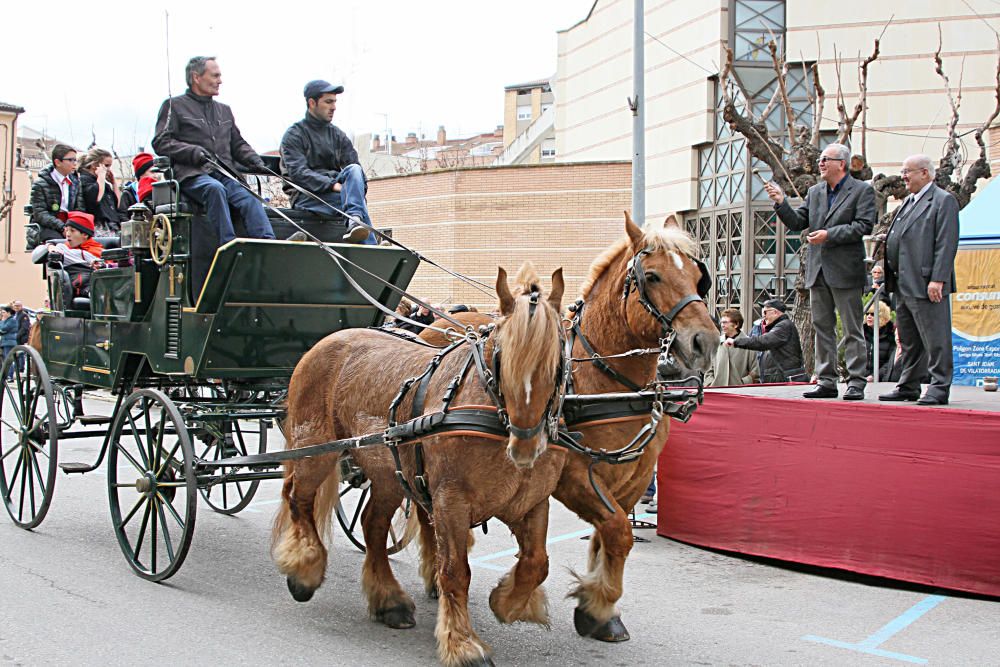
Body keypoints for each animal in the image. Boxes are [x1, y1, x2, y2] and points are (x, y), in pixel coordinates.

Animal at [274, 264, 568, 664]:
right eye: (502, 358)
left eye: (557, 361)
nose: (526, 446)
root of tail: (327, 341)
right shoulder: (450, 501)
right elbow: (455, 572)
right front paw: (462, 642)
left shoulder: (533, 501)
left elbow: (537, 562)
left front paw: (507, 602)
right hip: (314, 450)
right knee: (298, 499)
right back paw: (305, 569)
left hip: (388, 473)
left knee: (373, 525)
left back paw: (389, 600)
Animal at [414, 214, 720, 640]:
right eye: (653, 276)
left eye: (697, 276)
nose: (704, 342)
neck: (606, 382)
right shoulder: (574, 476)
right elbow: (618, 531)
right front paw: (595, 604)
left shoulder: (636, 477)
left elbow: (611, 536)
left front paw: (600, 609)